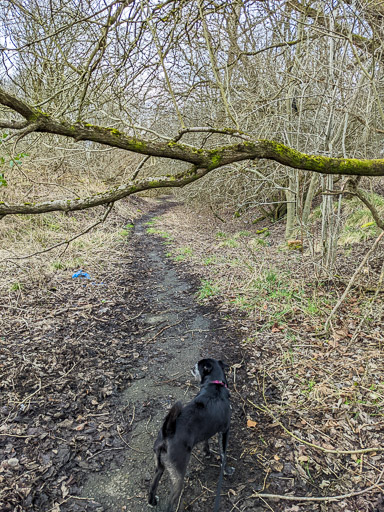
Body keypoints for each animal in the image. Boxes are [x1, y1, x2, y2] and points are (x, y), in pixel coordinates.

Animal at [148, 360, 232, 512]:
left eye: (196, 367)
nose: (191, 367)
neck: (214, 384)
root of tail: (167, 433)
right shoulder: (224, 431)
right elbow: (223, 454)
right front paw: (226, 470)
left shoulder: (206, 430)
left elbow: (206, 441)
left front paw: (207, 452)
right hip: (178, 475)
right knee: (170, 502)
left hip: (159, 467)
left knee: (152, 486)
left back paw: (152, 501)